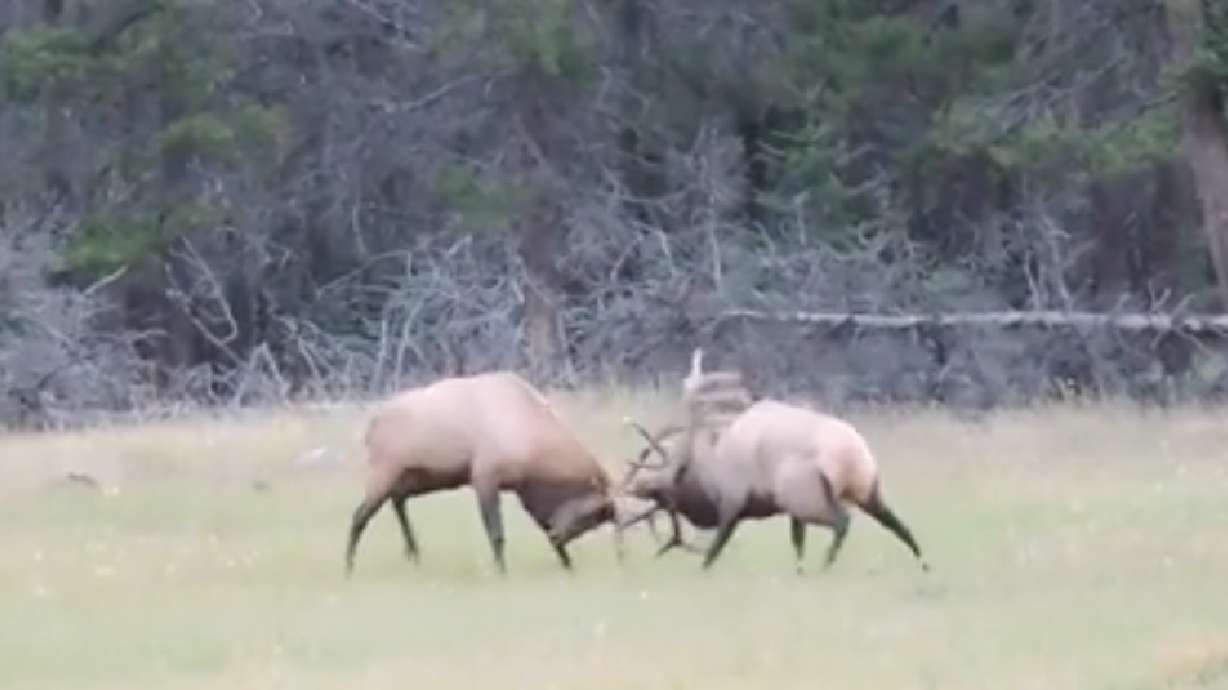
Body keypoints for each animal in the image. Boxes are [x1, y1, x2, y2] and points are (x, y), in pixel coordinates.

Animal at [345, 371, 620, 577]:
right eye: (591, 515)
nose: (559, 536)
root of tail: (370, 427)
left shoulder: (524, 490)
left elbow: (540, 525)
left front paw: (567, 564)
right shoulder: (485, 476)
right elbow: (496, 533)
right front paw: (502, 571)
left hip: (414, 477)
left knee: (397, 501)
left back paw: (414, 554)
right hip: (385, 469)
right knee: (360, 515)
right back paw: (349, 565)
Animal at [618, 349, 930, 574]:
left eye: (666, 497)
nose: (633, 489)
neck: (709, 468)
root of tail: (848, 456)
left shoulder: (734, 501)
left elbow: (715, 549)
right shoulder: (787, 510)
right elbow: (797, 543)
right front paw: (798, 571)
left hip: (809, 496)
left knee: (843, 522)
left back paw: (826, 565)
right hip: (867, 489)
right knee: (899, 525)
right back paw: (924, 564)